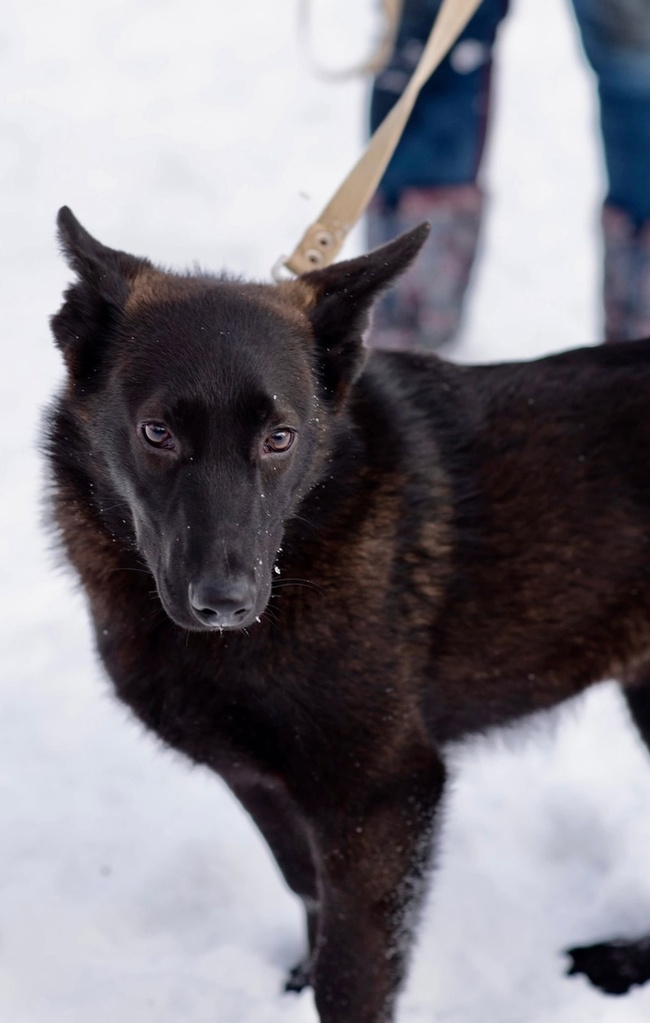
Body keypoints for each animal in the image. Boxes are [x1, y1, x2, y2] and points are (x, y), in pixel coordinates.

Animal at [44, 206, 650, 1021]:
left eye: (280, 438)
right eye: (157, 433)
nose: (225, 602)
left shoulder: (387, 792)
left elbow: (353, 969)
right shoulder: (263, 781)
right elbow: (309, 893)